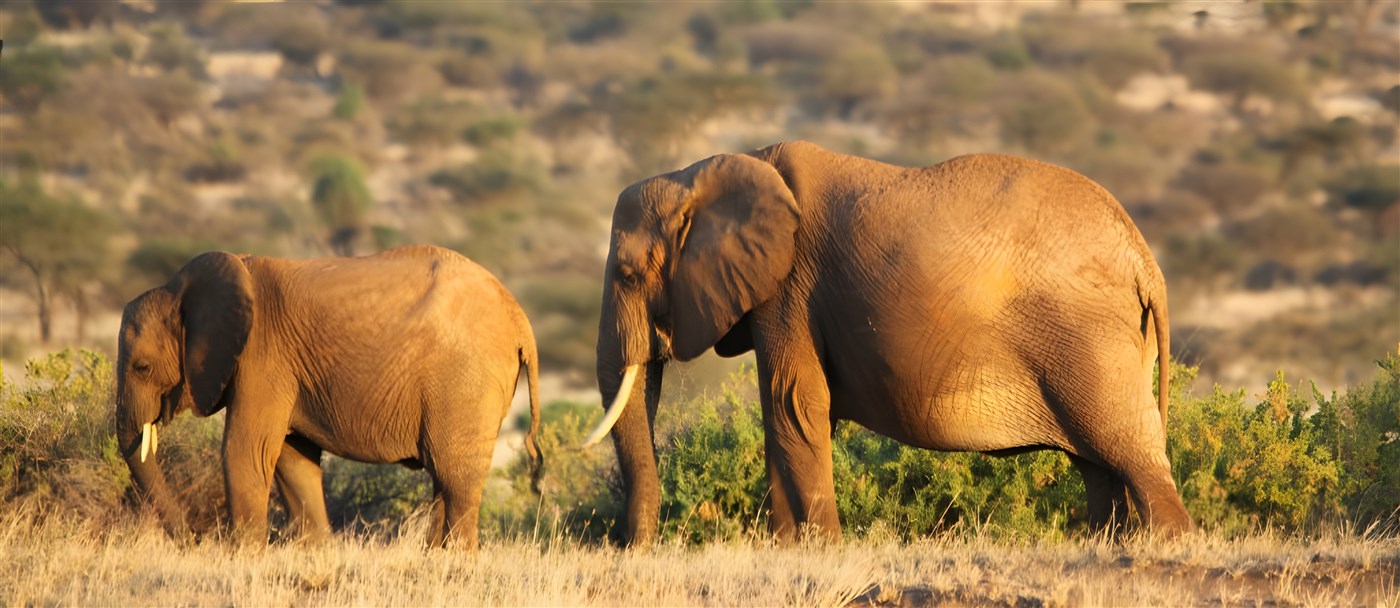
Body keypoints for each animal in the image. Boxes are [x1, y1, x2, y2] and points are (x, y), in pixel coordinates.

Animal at [115, 245, 541, 548]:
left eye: (142, 367)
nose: (191, 538)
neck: (181, 289)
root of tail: (519, 316)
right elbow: (294, 460)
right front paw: (315, 551)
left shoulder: (262, 358)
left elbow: (245, 450)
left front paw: (244, 556)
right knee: (444, 479)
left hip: (465, 381)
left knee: (456, 480)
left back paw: (455, 562)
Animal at [586, 140, 1192, 545]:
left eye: (628, 273)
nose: (634, 550)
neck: (701, 173)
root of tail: (1143, 256)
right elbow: (795, 412)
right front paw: (788, 548)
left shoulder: (789, 288)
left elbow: (792, 402)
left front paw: (818, 551)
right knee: (1099, 461)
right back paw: (1105, 545)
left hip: (1086, 338)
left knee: (1123, 446)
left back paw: (1164, 546)